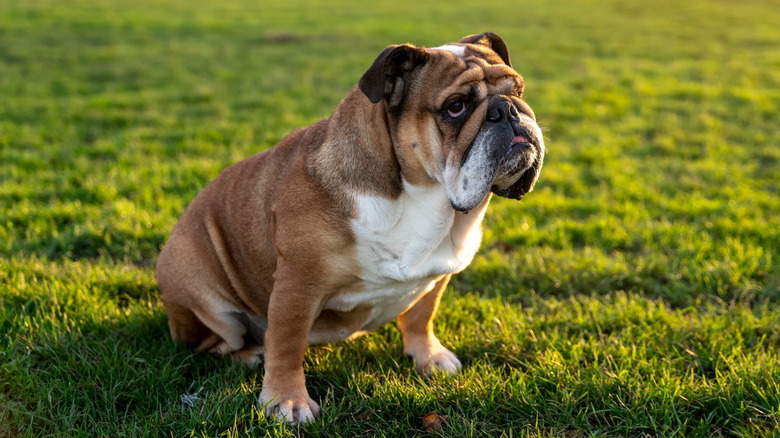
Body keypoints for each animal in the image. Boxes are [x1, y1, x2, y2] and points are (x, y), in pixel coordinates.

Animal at [155, 32, 544, 422]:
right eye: (456, 107)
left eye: (519, 90)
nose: (509, 109)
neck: (423, 197)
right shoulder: (298, 284)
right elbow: (286, 343)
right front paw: (287, 400)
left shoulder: (437, 275)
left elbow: (421, 316)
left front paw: (428, 356)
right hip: (201, 293)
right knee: (213, 342)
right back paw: (249, 353)